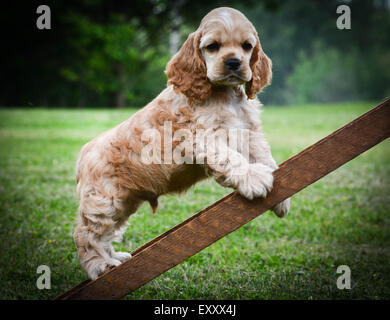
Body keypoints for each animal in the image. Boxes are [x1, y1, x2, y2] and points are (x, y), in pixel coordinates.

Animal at [74, 7, 290, 280]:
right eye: (213, 46)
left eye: (247, 46)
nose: (233, 62)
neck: (225, 94)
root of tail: (83, 154)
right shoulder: (202, 137)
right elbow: (232, 158)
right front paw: (254, 179)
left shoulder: (249, 133)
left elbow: (264, 155)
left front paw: (280, 197)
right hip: (105, 201)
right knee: (87, 235)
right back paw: (99, 266)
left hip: (124, 201)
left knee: (107, 233)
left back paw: (114, 258)